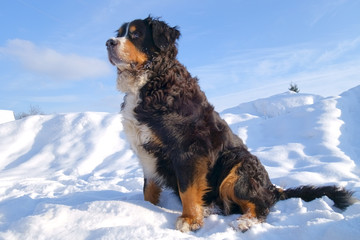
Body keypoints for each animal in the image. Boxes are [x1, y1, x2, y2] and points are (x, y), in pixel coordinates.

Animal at [105, 15, 356, 232]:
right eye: (119, 34)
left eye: (136, 34)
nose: (108, 42)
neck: (151, 82)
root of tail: (271, 187)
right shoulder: (145, 151)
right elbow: (148, 189)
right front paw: (147, 210)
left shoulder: (188, 149)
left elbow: (187, 190)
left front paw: (190, 220)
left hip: (237, 167)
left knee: (261, 205)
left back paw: (244, 221)